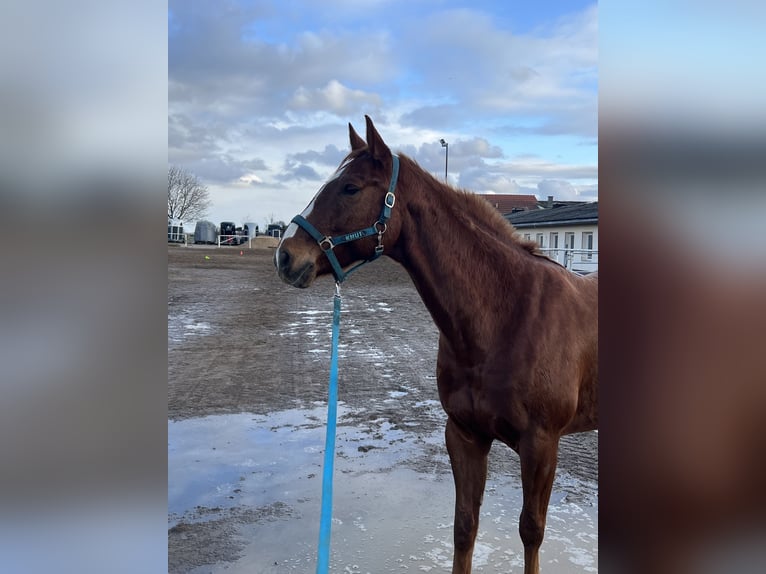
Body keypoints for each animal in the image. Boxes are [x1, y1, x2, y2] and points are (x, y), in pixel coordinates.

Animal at [275, 116, 598, 574]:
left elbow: (531, 531)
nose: (286, 256)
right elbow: (464, 526)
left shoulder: (541, 445)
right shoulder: (463, 435)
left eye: (351, 187)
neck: (508, 316)